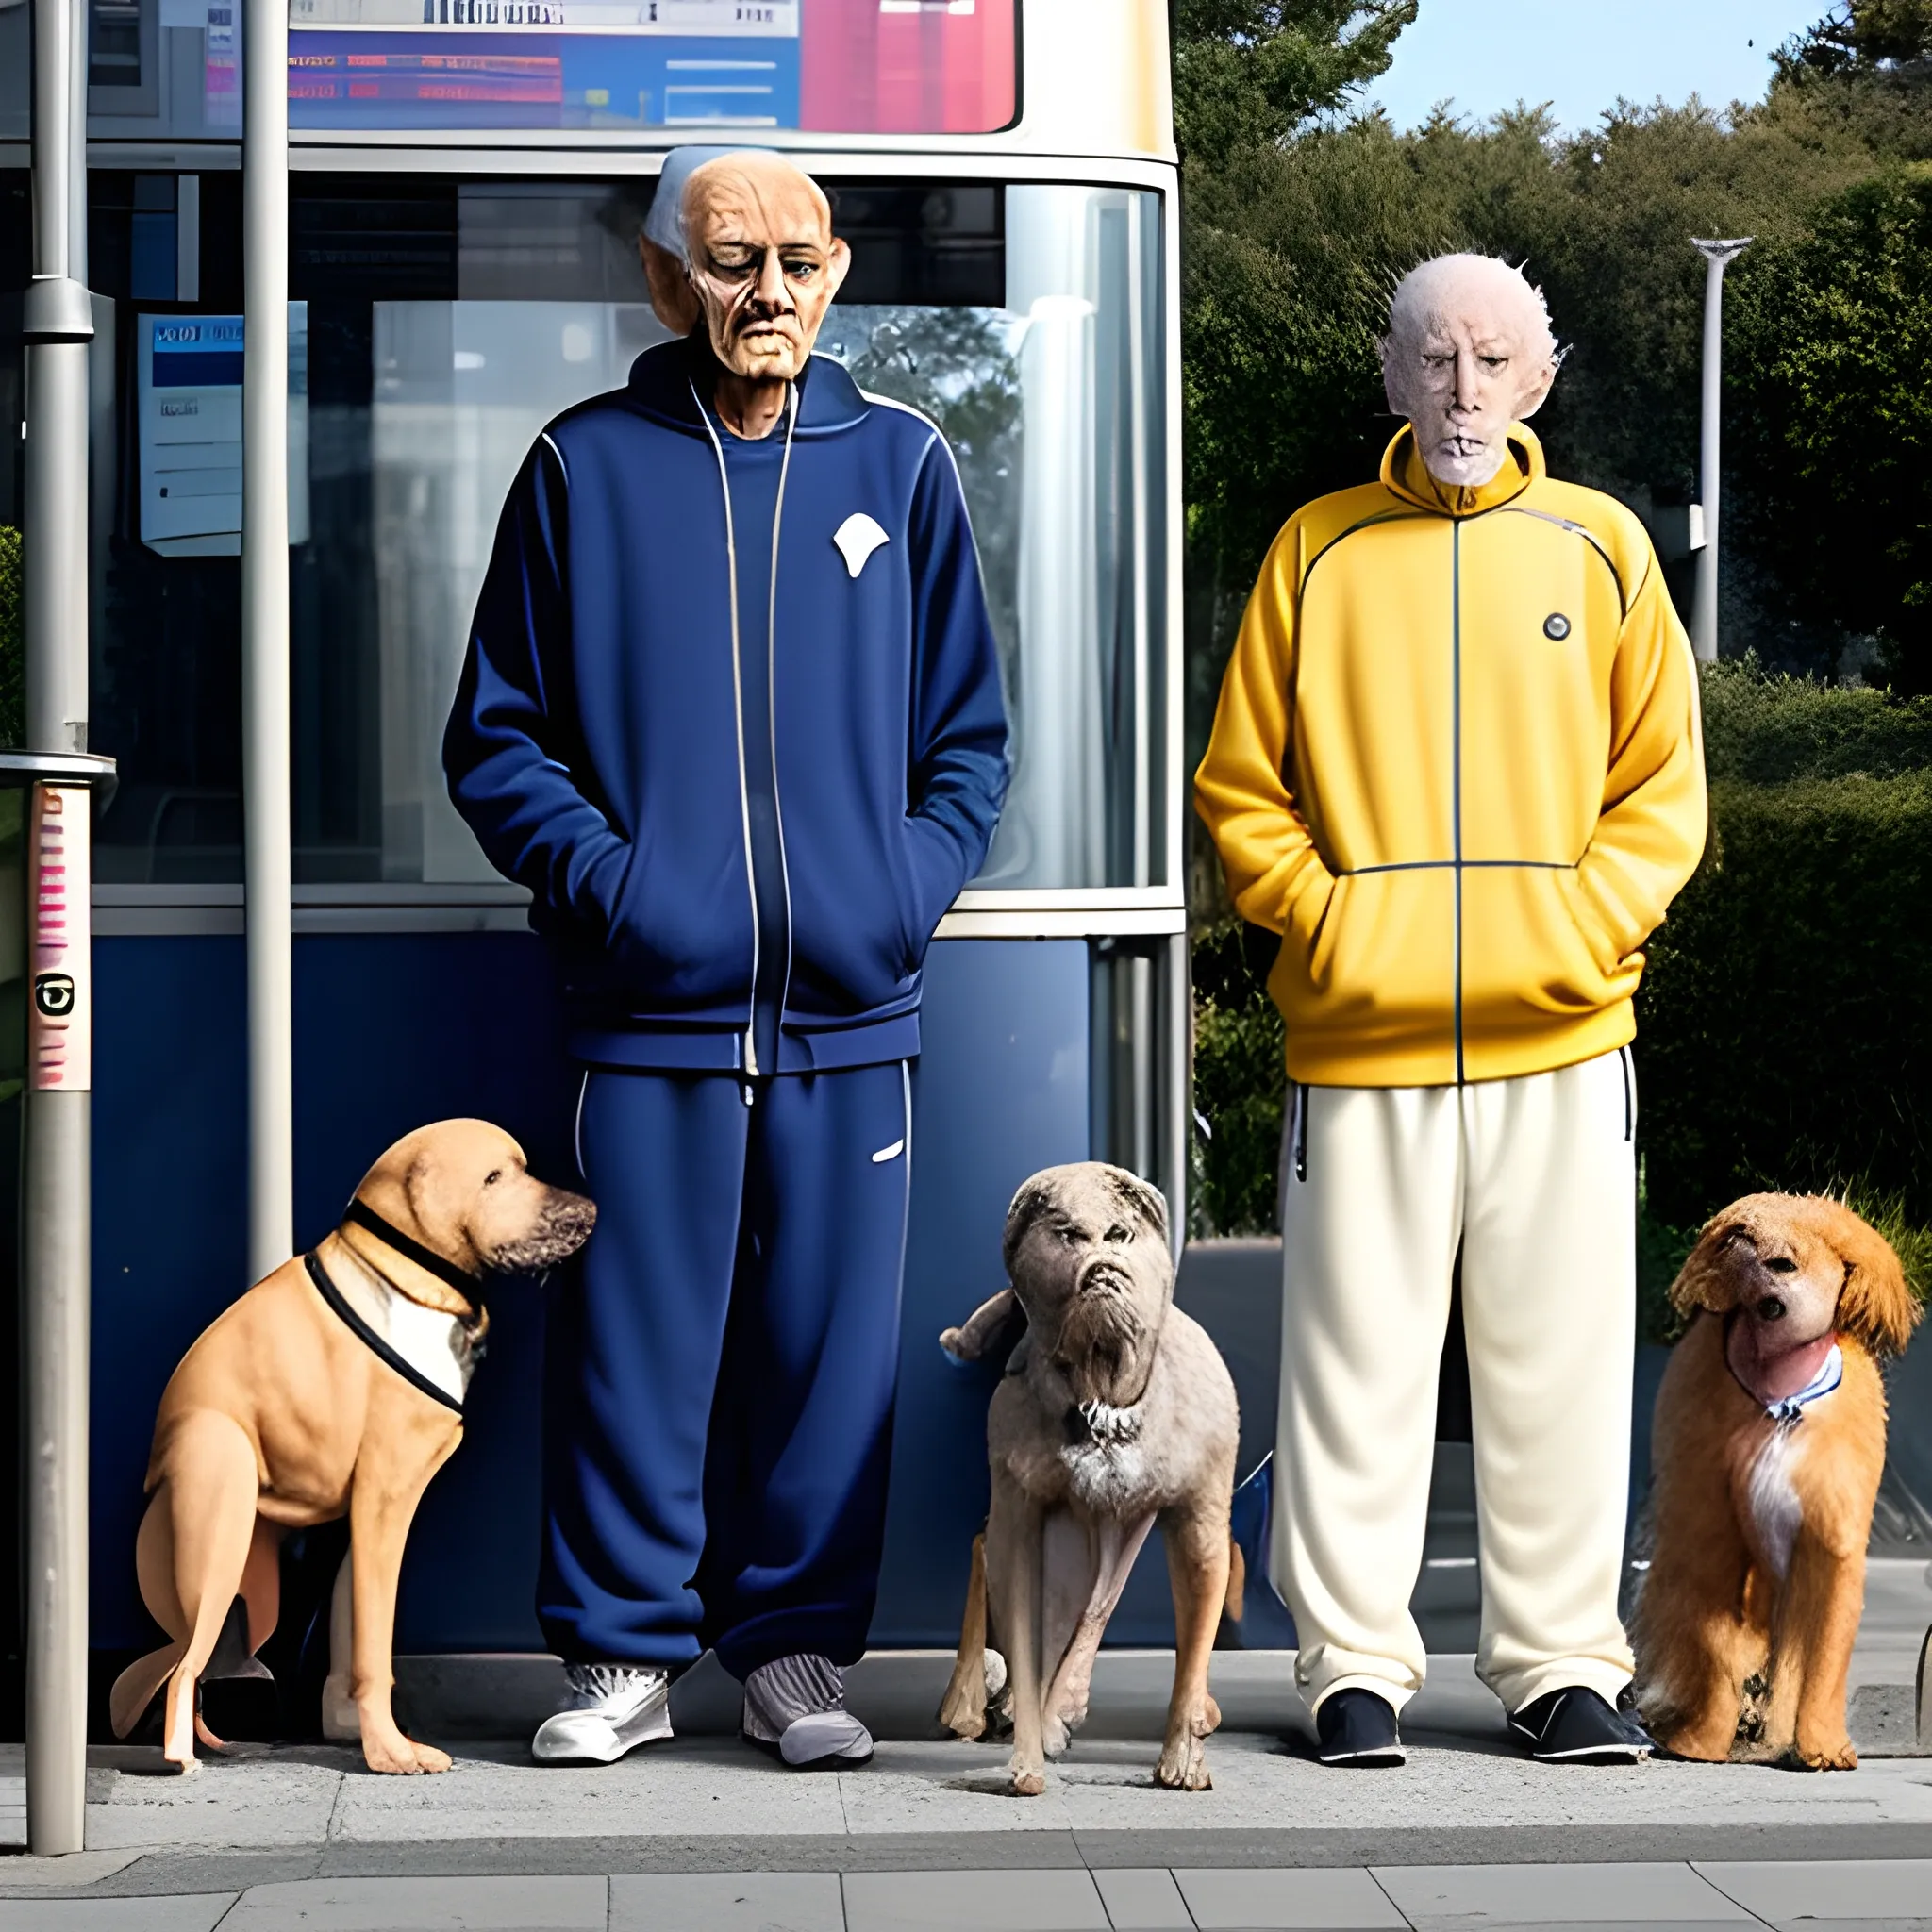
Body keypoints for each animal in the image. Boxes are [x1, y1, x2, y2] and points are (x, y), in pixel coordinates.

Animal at [109, 1128, 591, 1769]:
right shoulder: (384, 1505)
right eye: (494, 1178)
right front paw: (391, 1754)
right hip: (216, 1542)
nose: (590, 1211)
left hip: (258, 1598)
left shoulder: (353, 1532)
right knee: (181, 1664)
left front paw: (352, 1734)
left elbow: (348, 1646)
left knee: (184, 1662)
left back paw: (214, 1740)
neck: (402, 1274)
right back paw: (180, 1756)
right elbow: (373, 1649)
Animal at [935, 1158, 1236, 1792]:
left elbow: (1179, 1628)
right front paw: (1026, 1755)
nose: (1101, 1268)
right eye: (1069, 1235)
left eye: (1119, 1234)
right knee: (990, 1554)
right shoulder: (1021, 1511)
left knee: (1096, 1602)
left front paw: (1182, 1755)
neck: (1103, 1401)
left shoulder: (1194, 1516)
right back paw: (974, 1704)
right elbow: (1024, 1630)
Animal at [1638, 1190, 1924, 1769]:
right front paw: (1700, 1742)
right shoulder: (1709, 1537)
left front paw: (1822, 1747)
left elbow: (1824, 1659)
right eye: (1736, 1232)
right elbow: (1711, 1646)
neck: (1779, 1394)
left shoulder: (1831, 1544)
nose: (1738, 1239)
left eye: (1783, 1263)